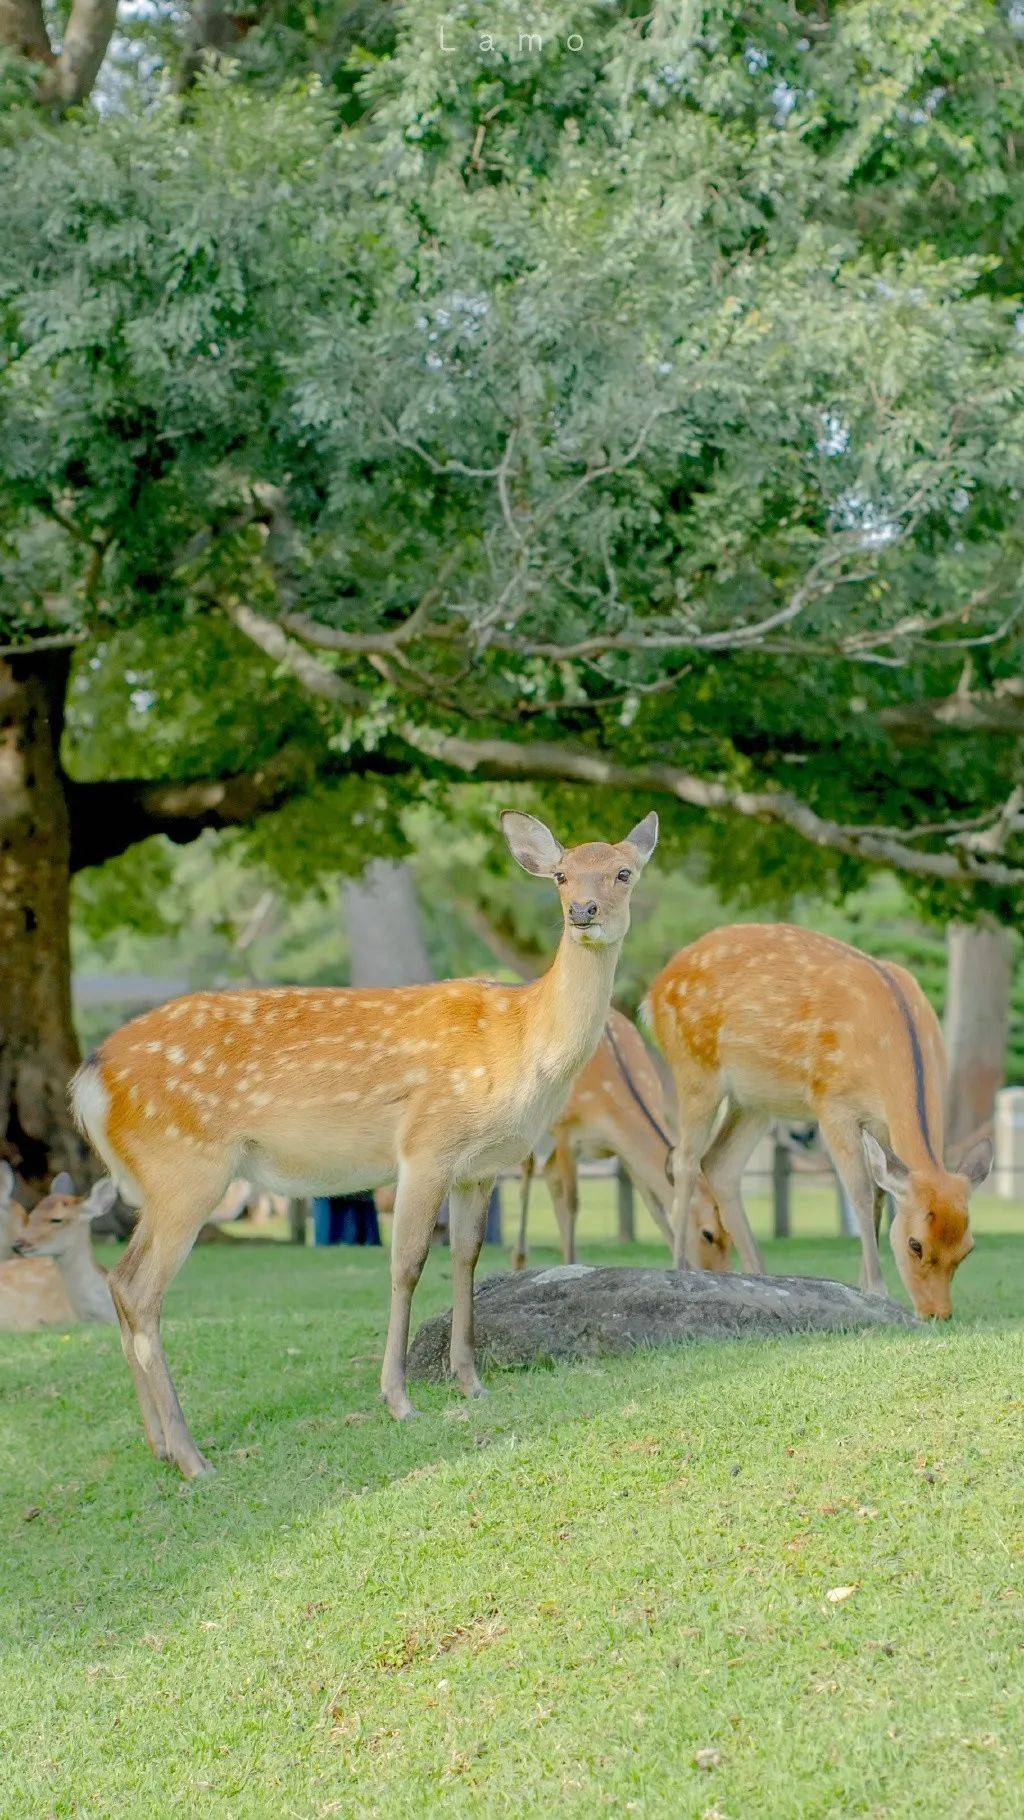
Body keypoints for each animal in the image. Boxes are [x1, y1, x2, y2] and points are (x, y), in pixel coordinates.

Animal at [75, 811, 662, 1477]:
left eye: (624, 871)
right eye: (561, 875)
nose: (583, 910)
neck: (522, 1044)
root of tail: (88, 1079)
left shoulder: (480, 1167)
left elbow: (466, 1259)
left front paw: (471, 1382)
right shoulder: (426, 1147)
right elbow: (407, 1265)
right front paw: (398, 1399)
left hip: (158, 1182)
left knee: (119, 1281)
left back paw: (159, 1447)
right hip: (186, 1167)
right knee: (143, 1291)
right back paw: (193, 1456)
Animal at [512, 1019, 727, 1274]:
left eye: (730, 1236)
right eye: (708, 1234)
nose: (723, 1272)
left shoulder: (624, 1155)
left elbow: (655, 1208)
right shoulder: (565, 1132)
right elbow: (573, 1203)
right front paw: (570, 1264)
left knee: (548, 1171)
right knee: (528, 1166)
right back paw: (520, 1260)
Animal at [647, 931, 996, 1317]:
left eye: (968, 1247)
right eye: (915, 1244)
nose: (938, 1313)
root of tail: (654, 990)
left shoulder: (879, 1124)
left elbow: (879, 1195)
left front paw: (865, 1288)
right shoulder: (832, 1103)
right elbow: (860, 1191)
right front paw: (878, 1290)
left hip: (755, 1099)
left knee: (719, 1163)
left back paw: (761, 1277)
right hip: (694, 1067)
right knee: (683, 1161)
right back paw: (680, 1269)